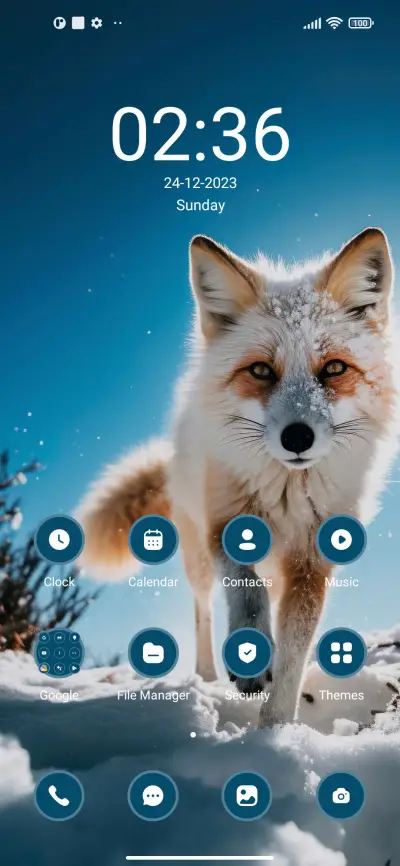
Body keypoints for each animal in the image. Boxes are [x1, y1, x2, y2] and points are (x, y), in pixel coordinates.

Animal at [77, 227, 397, 727]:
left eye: (334, 369)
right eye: (261, 370)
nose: (298, 437)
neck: (288, 494)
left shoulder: (312, 561)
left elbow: (293, 655)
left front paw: (275, 728)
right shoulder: (224, 524)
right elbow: (246, 593)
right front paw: (249, 661)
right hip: (196, 557)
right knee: (202, 612)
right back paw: (207, 675)